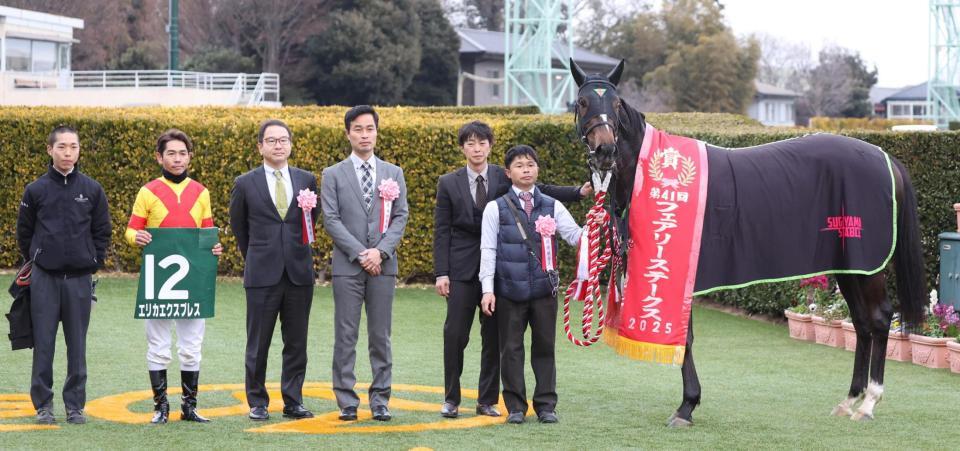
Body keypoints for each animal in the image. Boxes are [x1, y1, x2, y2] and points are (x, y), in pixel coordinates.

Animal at [568, 59, 928, 428]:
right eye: (582, 102)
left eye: (615, 104)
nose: (605, 149)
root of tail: (885, 158)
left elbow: (686, 337)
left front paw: (686, 406)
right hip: (850, 265)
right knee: (861, 322)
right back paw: (849, 400)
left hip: (868, 266)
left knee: (879, 318)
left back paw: (869, 402)